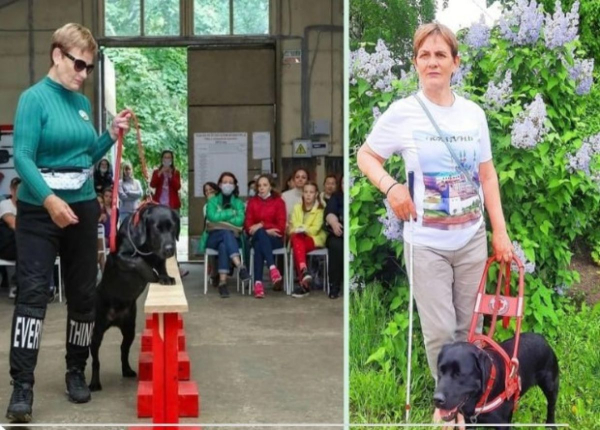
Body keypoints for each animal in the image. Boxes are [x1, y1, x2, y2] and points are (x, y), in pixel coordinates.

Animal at [88, 203, 179, 392]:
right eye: (157, 228)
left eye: (172, 227)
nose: (170, 249)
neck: (146, 246)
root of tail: (114, 320)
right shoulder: (121, 256)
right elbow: (139, 262)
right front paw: (153, 276)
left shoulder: (158, 257)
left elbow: (161, 265)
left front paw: (166, 277)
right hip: (97, 331)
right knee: (96, 360)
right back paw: (94, 383)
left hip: (129, 328)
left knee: (124, 350)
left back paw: (127, 370)